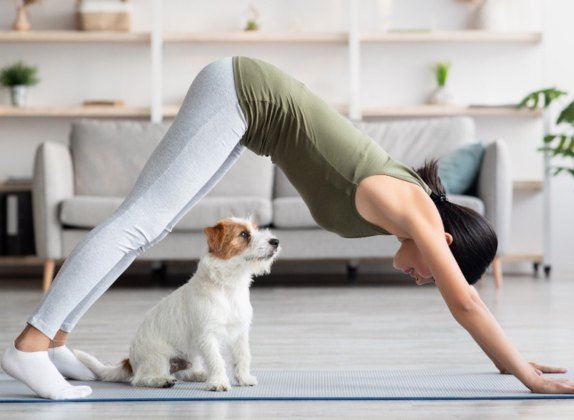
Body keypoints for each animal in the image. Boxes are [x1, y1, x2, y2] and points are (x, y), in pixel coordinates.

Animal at [74, 218, 282, 392]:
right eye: (244, 234)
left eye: (256, 229)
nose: (276, 241)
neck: (227, 287)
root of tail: (130, 362)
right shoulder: (207, 336)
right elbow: (217, 360)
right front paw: (219, 383)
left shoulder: (240, 333)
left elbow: (243, 357)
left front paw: (244, 378)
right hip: (158, 357)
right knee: (140, 379)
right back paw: (162, 380)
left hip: (191, 356)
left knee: (184, 372)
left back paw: (198, 374)